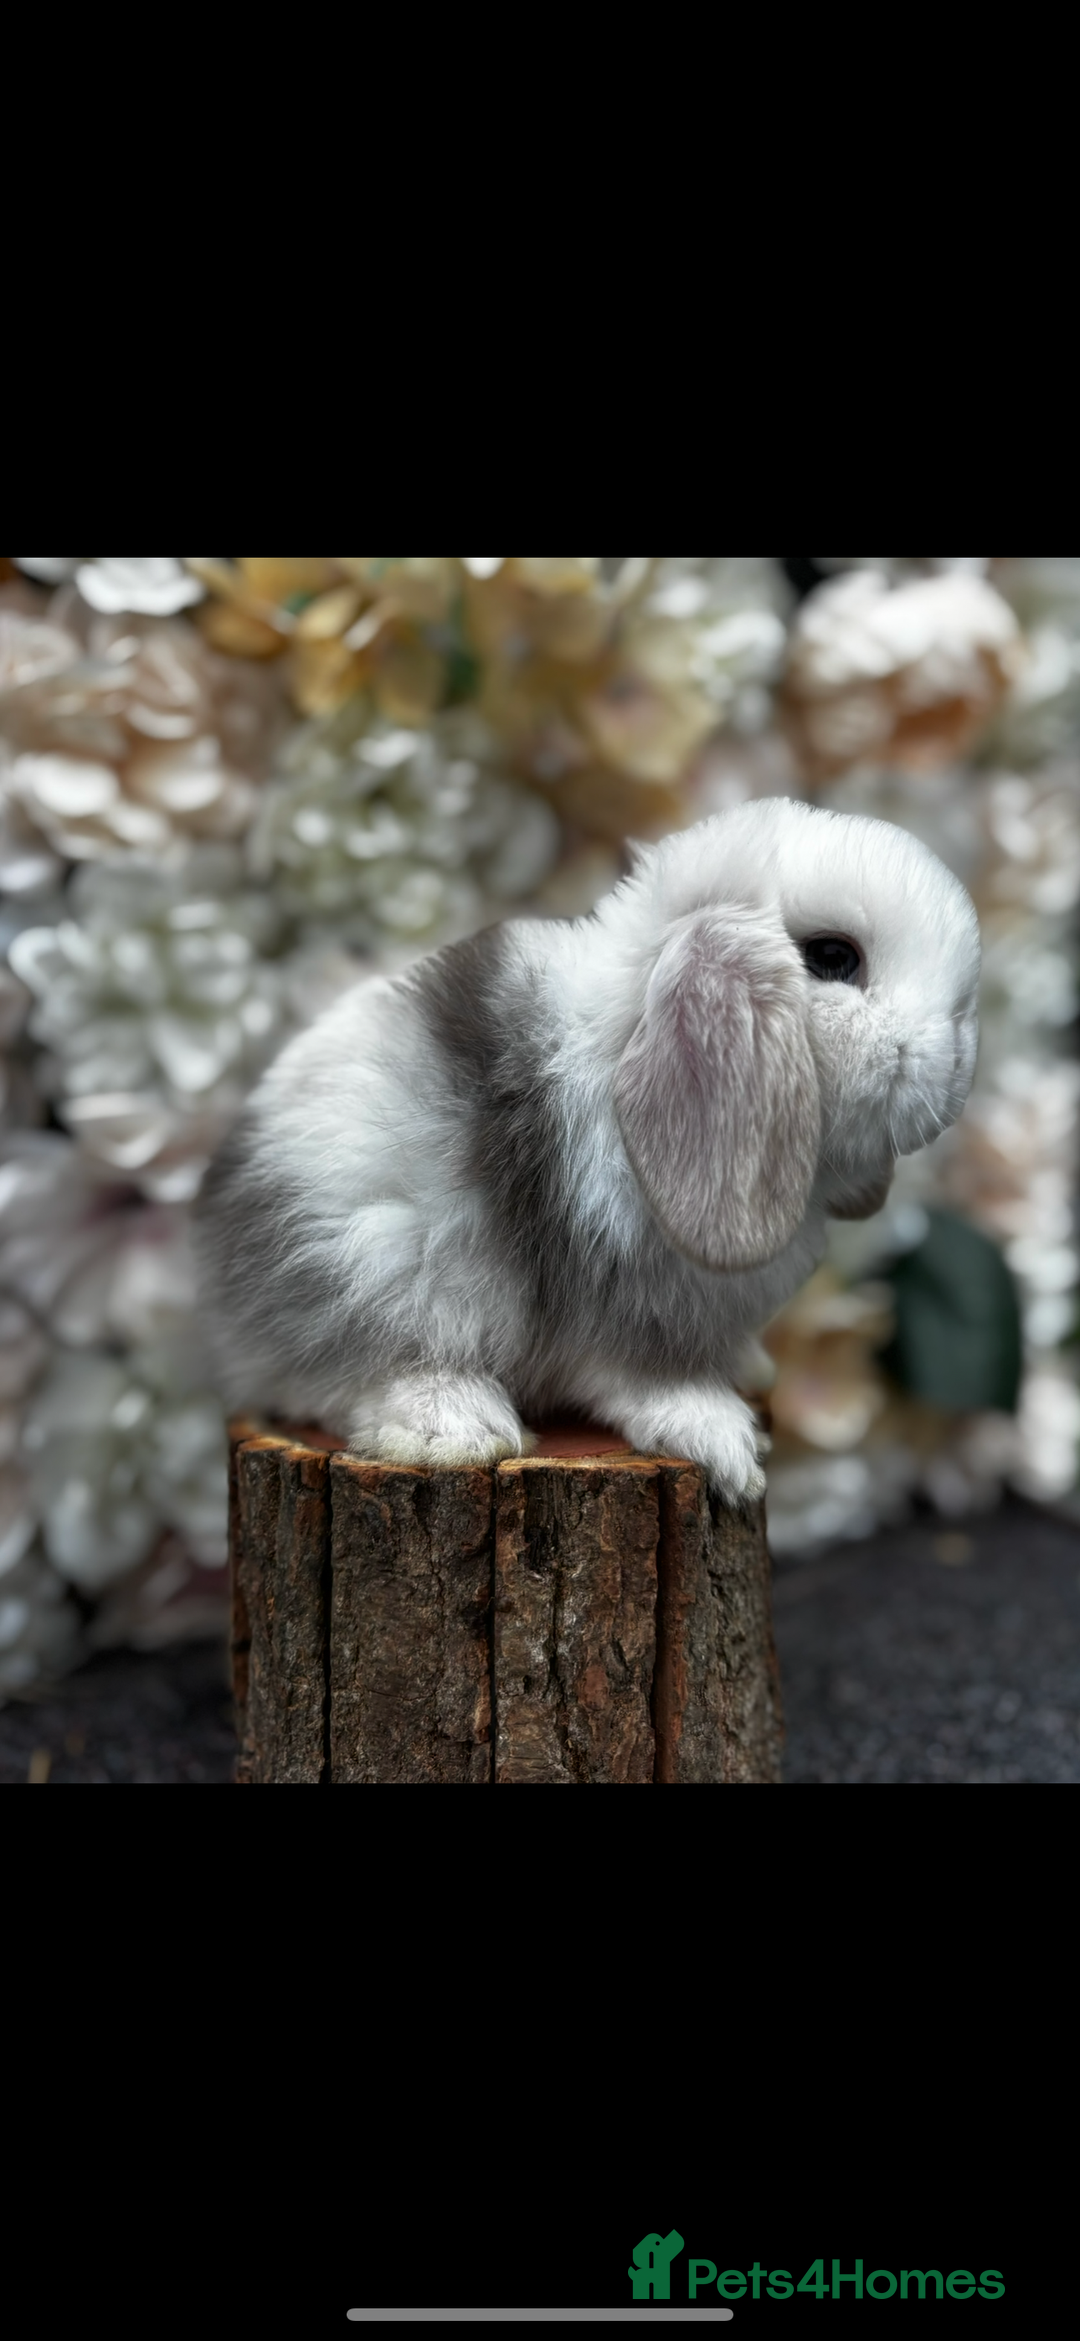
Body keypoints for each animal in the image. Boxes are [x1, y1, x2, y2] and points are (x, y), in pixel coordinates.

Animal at [194, 797, 980, 1506]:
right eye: (833, 957)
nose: (953, 1065)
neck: (630, 1027)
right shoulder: (624, 1304)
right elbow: (652, 1381)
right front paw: (726, 1447)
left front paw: (750, 1374)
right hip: (375, 1260)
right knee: (338, 1375)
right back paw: (456, 1429)